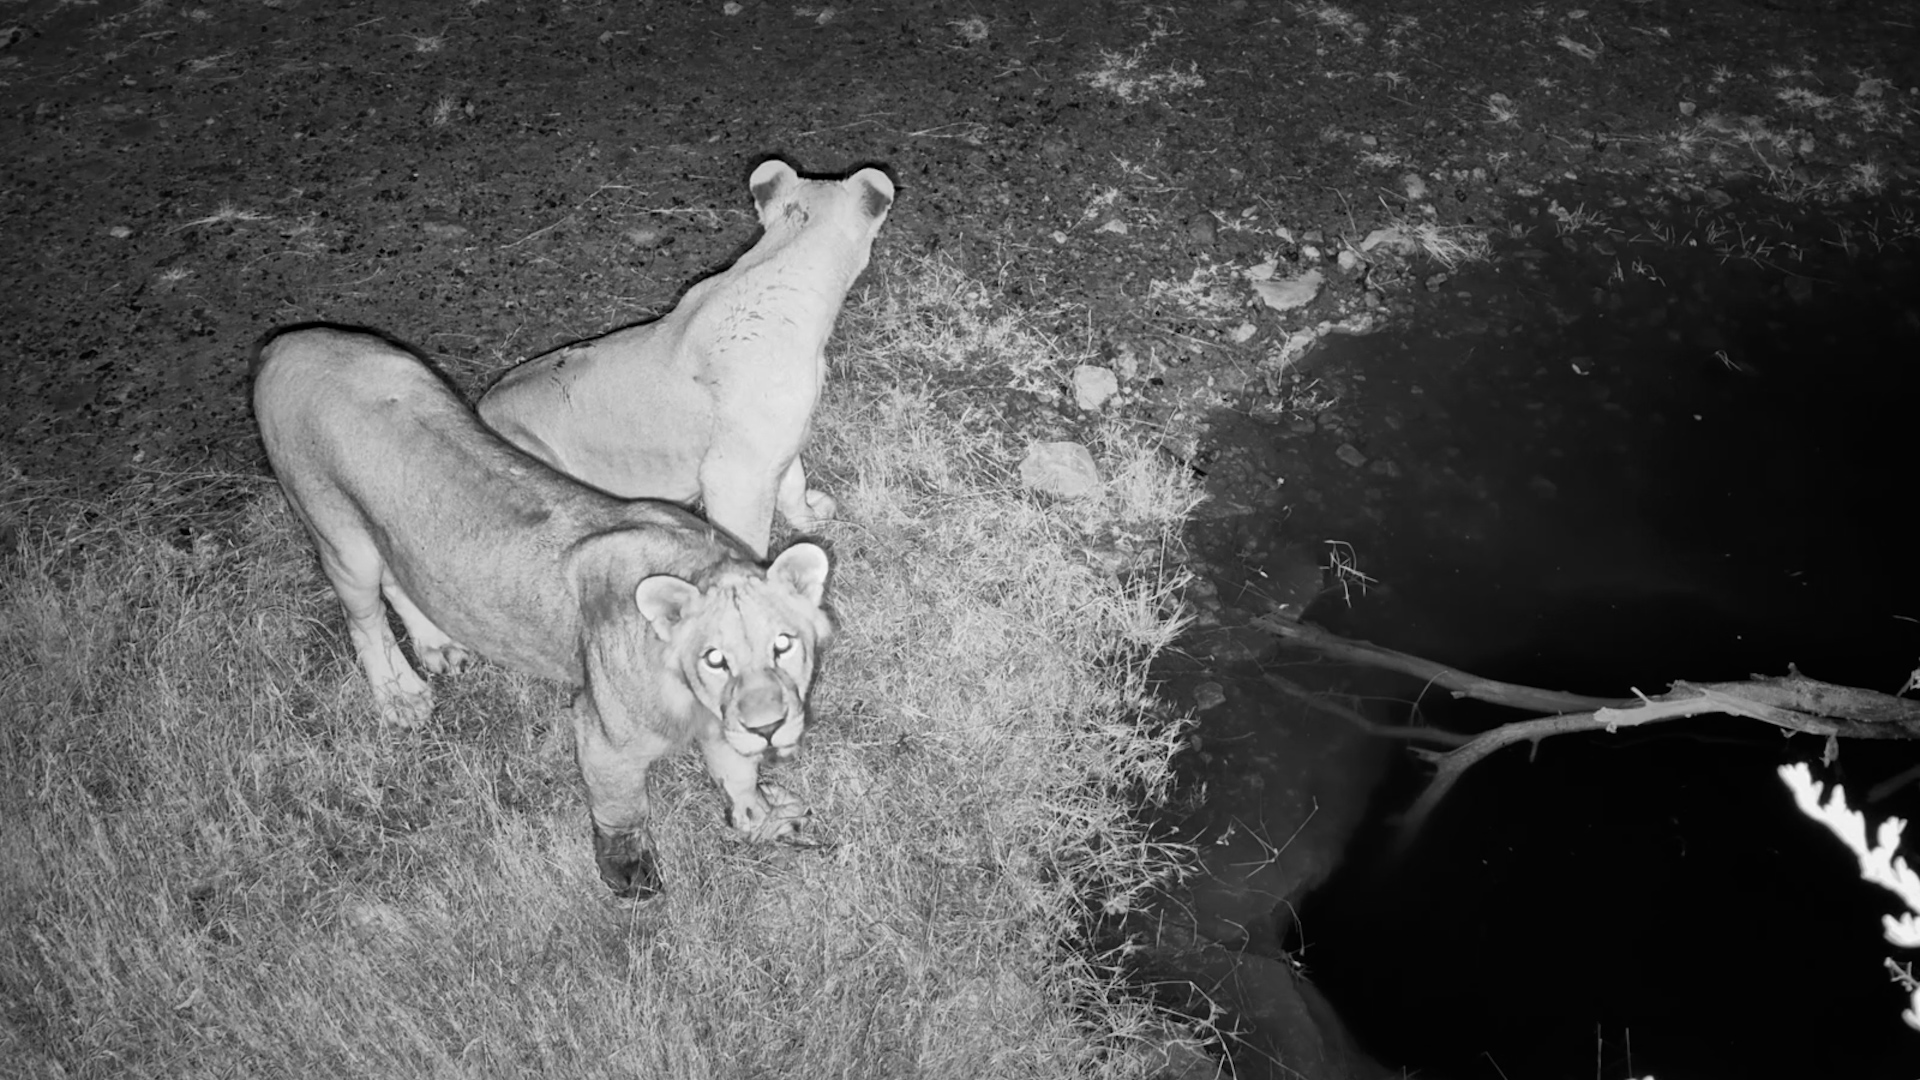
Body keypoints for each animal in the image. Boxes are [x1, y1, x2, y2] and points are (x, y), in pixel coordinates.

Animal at [253, 325, 834, 899]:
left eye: (784, 645)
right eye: (715, 659)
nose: (770, 726)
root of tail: (288, 344)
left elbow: (736, 769)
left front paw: (758, 816)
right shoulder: (601, 737)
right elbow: (622, 809)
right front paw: (631, 878)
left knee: (400, 577)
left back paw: (437, 645)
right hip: (340, 537)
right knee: (365, 617)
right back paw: (401, 695)